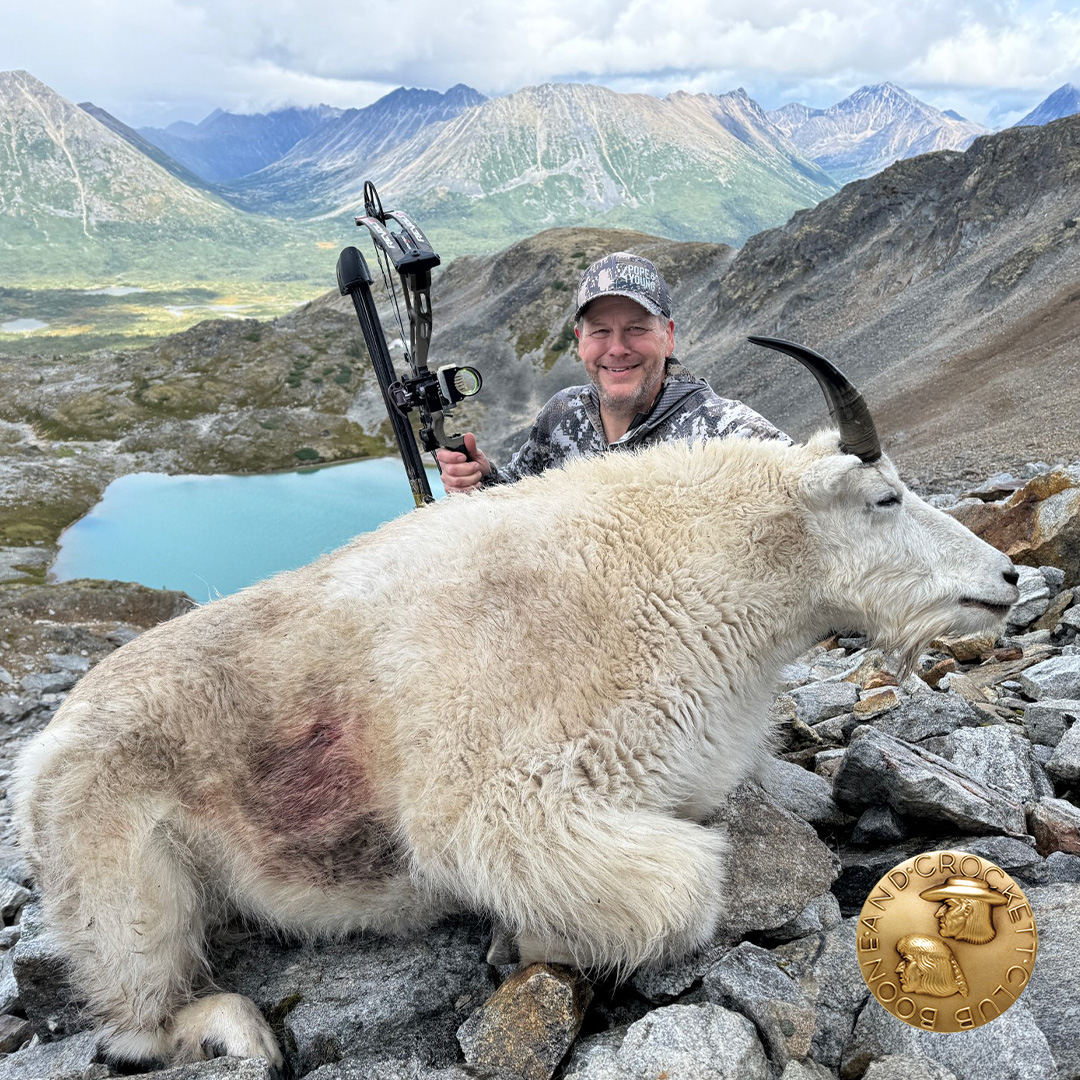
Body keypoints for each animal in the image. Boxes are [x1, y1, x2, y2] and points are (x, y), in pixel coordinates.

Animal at [13, 340, 1019, 1069]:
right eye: (884, 497)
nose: (1006, 578)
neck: (676, 572)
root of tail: (36, 761)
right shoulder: (498, 802)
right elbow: (683, 887)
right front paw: (522, 939)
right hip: (130, 887)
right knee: (134, 1021)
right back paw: (238, 1030)